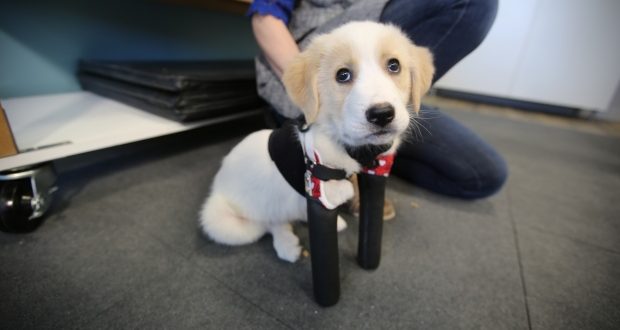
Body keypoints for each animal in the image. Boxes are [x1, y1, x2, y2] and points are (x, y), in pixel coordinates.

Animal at [201, 21, 434, 262]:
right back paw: (287, 245)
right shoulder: (320, 192)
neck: (346, 146)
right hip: (225, 222)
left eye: (394, 66)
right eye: (342, 75)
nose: (382, 114)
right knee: (268, 222)